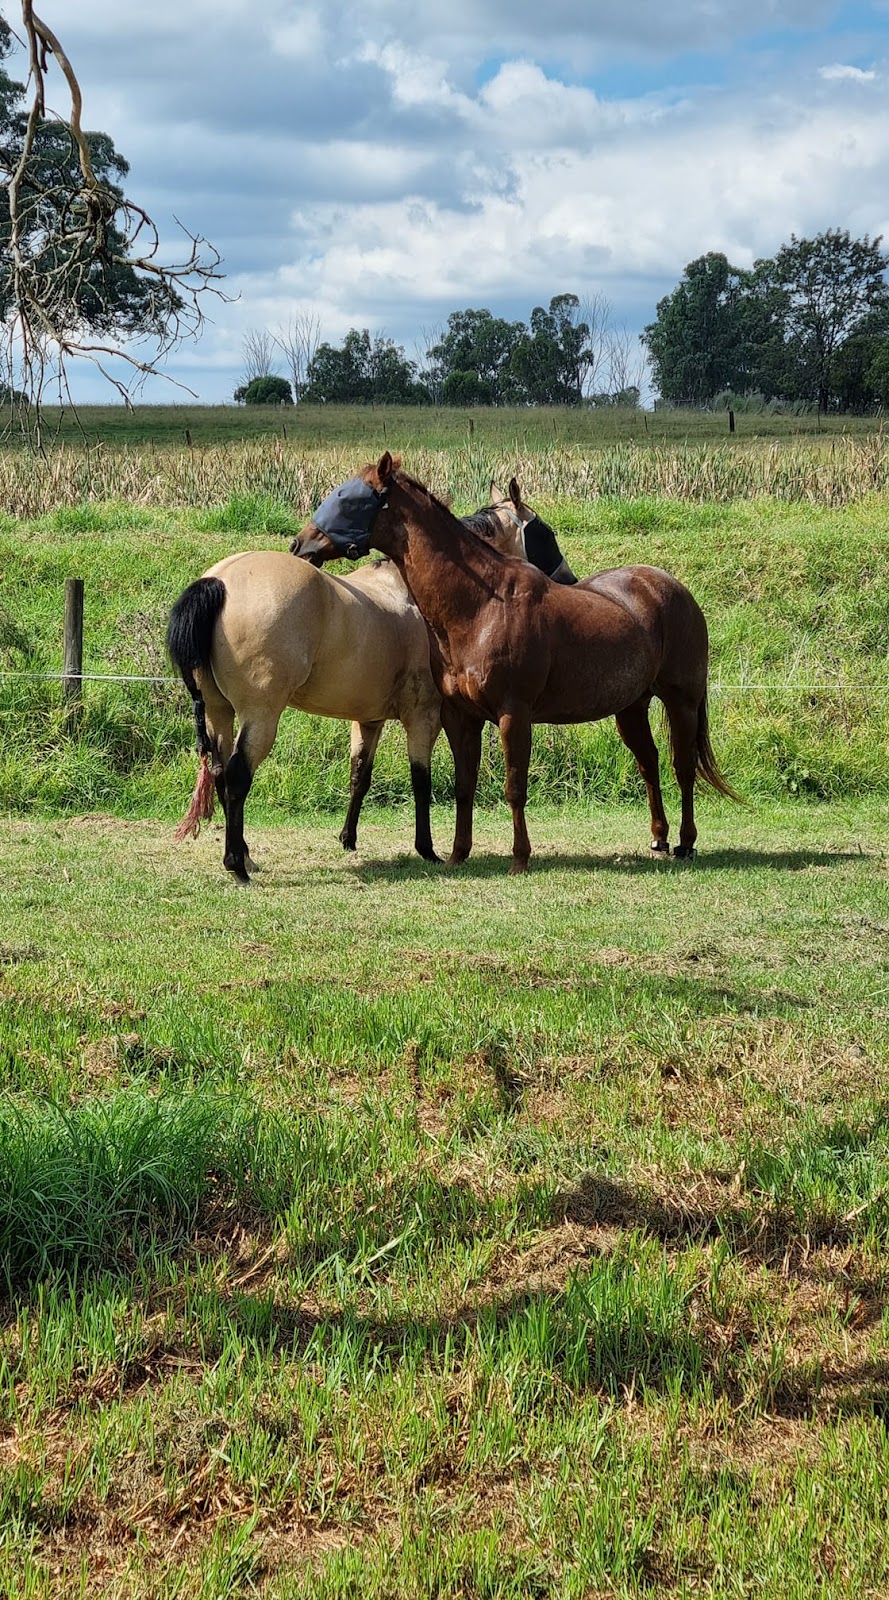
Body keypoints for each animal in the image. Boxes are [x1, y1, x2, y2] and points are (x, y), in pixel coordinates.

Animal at [165, 491, 553, 883]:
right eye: (543, 534)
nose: (560, 580)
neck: (414, 596)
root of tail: (219, 580)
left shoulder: (369, 719)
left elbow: (360, 776)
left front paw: (348, 838)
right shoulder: (423, 718)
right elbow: (421, 781)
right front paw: (426, 850)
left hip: (219, 713)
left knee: (220, 775)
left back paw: (245, 857)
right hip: (260, 717)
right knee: (237, 778)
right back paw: (237, 865)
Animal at [291, 455, 738, 875]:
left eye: (349, 500)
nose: (300, 545)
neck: (483, 605)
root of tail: (670, 587)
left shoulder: (513, 714)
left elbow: (514, 787)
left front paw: (519, 858)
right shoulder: (460, 717)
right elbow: (464, 785)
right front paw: (457, 854)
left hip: (681, 701)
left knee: (683, 767)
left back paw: (686, 843)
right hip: (631, 707)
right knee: (649, 763)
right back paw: (660, 838)